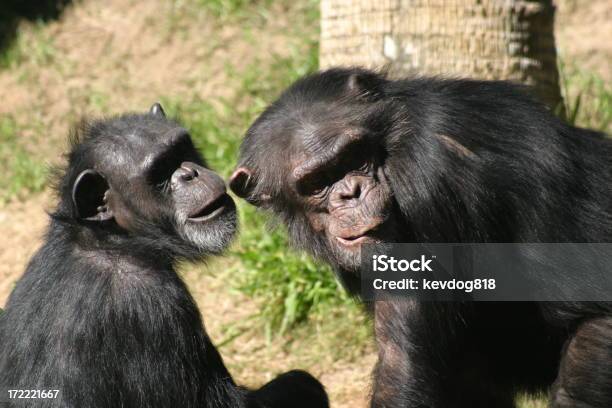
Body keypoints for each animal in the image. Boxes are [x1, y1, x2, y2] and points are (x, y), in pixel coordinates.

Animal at [0, 104, 330, 408]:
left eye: (181, 150)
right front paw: (301, 384)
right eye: (159, 172)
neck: (113, 241)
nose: (189, 173)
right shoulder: (153, 307)